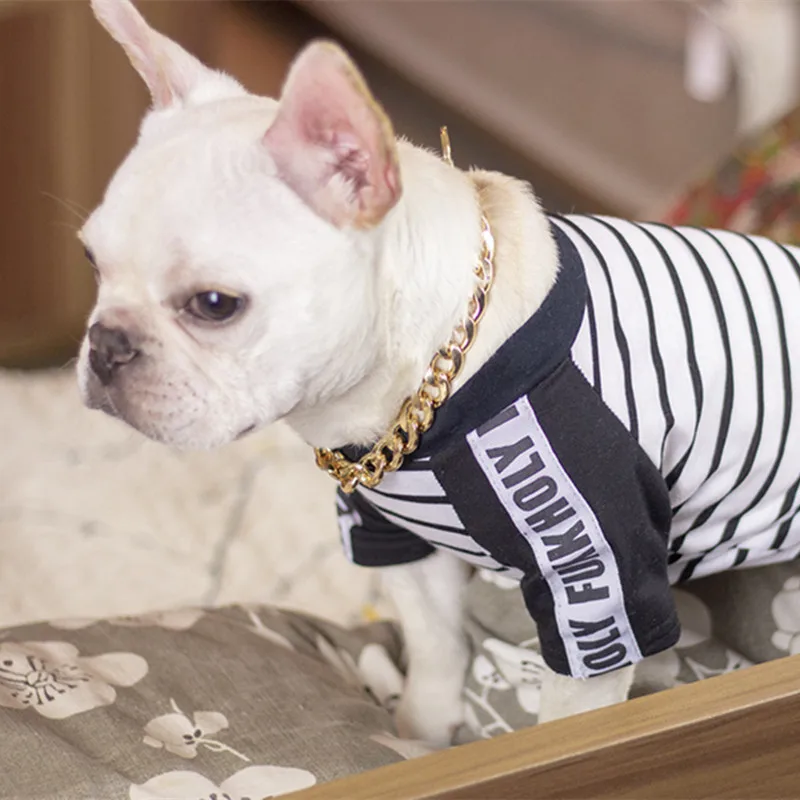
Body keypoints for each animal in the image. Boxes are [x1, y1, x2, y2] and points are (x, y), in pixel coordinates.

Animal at [77, 0, 800, 745]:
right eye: (92, 265)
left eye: (215, 305)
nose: (104, 345)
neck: (438, 377)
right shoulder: (399, 546)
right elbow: (435, 652)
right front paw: (417, 736)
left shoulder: (596, 581)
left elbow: (567, 724)